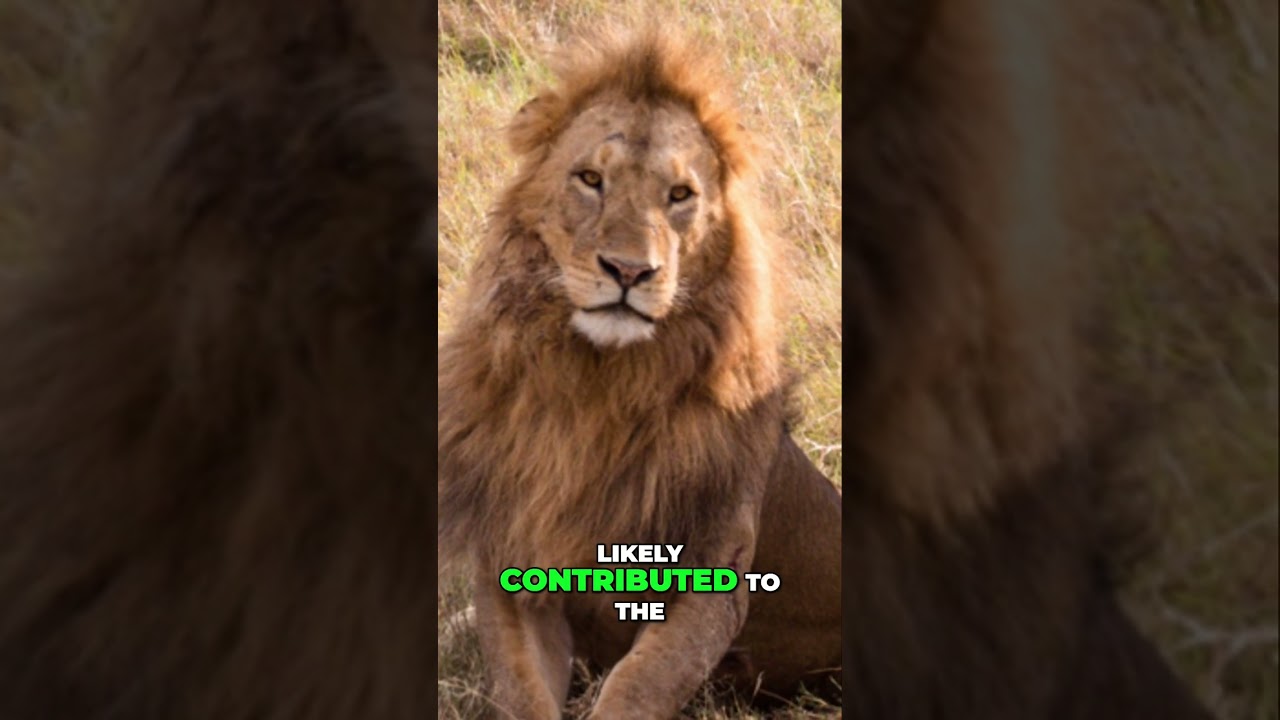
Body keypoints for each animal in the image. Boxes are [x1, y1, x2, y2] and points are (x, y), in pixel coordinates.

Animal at [436, 25, 843, 720]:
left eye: (680, 196)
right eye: (590, 179)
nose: (629, 271)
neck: (601, 386)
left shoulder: (711, 576)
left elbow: (638, 683)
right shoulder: (514, 567)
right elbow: (520, 689)